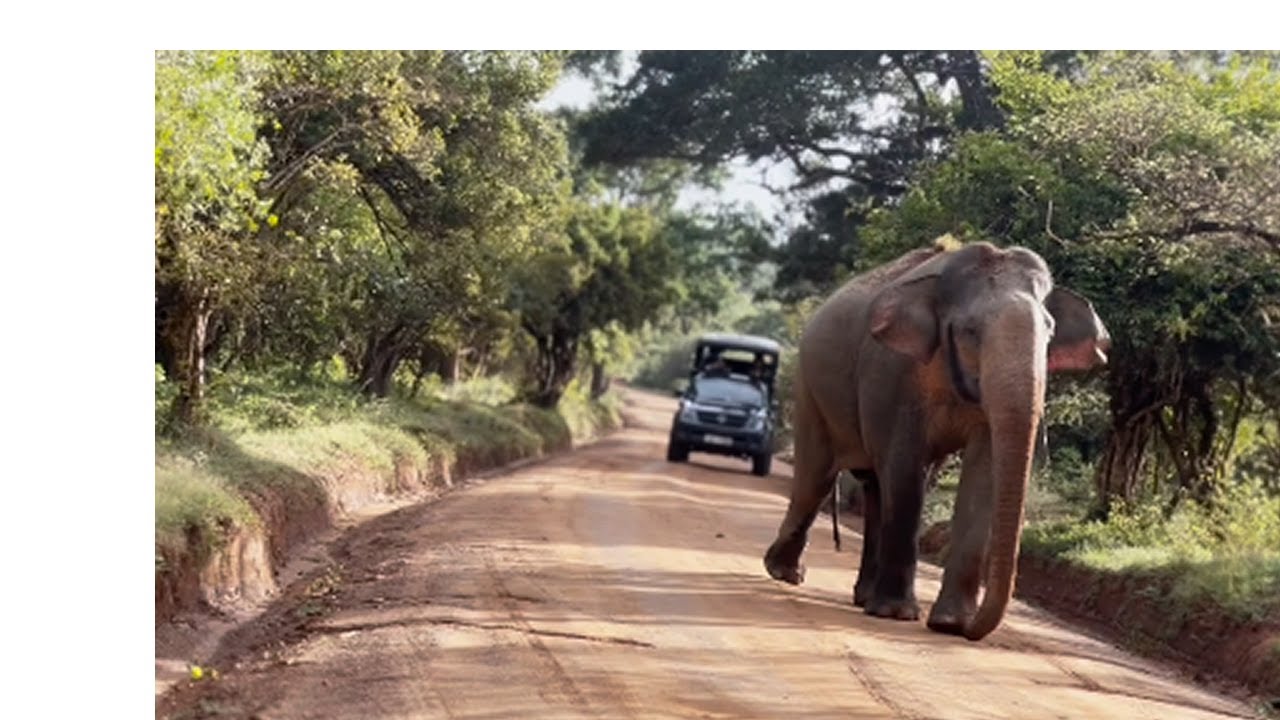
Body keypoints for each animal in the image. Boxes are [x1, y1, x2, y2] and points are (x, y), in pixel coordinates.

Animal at [763, 239, 1109, 641]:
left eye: (1050, 333)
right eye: (971, 331)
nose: (973, 631)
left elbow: (983, 473)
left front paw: (949, 624)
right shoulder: (893, 373)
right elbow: (904, 467)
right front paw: (898, 615)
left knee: (875, 490)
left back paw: (862, 596)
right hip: (810, 386)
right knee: (817, 475)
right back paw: (787, 574)